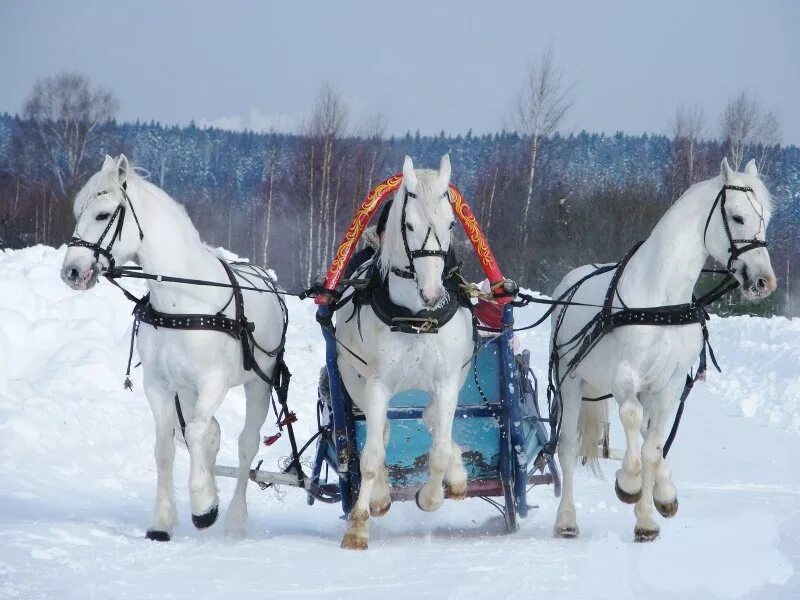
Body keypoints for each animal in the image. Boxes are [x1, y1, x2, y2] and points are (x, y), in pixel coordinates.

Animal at [62, 154, 288, 540]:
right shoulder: (160, 384)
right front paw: (163, 521)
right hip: (186, 389)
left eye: (103, 215)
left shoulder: (213, 382)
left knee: (245, 443)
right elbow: (166, 446)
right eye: (79, 211)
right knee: (210, 433)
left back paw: (234, 519)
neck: (181, 299)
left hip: (259, 383)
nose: (71, 272)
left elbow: (197, 432)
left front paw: (203, 506)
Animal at [332, 155, 476, 548]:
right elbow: (371, 455)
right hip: (353, 379)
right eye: (409, 225)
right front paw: (358, 525)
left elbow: (439, 449)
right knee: (380, 432)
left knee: (433, 420)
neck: (415, 317)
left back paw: (458, 474)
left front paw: (432, 496)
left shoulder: (447, 381)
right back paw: (380, 496)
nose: (432, 293)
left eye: (451, 222)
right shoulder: (376, 385)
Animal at [552, 157, 776, 540]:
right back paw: (566, 520)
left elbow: (653, 449)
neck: (662, 299)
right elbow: (631, 422)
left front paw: (647, 517)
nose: (764, 281)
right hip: (571, 383)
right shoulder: (625, 376)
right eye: (737, 217)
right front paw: (628, 484)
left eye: (766, 218)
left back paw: (661, 494)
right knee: (567, 446)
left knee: (647, 437)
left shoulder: (669, 384)